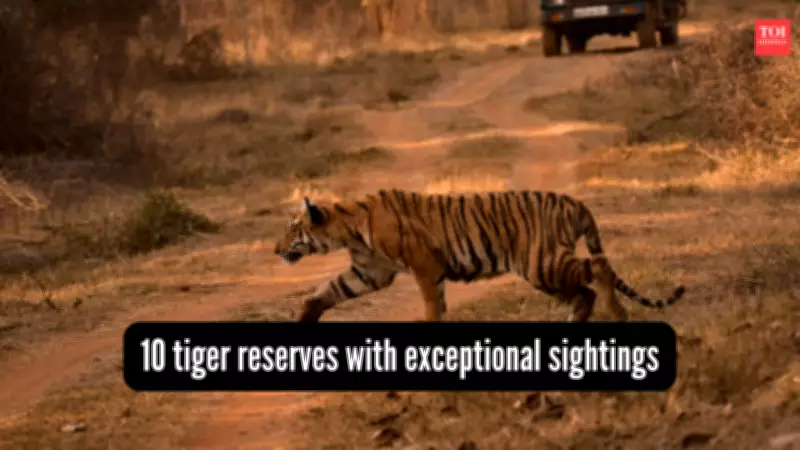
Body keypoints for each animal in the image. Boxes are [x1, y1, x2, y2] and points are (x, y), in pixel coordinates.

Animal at [274, 188, 685, 323]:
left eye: (292, 229)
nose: (275, 249)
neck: (347, 228)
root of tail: (575, 202)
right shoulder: (370, 272)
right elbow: (328, 290)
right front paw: (305, 317)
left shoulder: (424, 265)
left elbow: (431, 305)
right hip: (545, 269)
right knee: (584, 293)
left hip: (541, 262)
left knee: (597, 268)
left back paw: (619, 315)